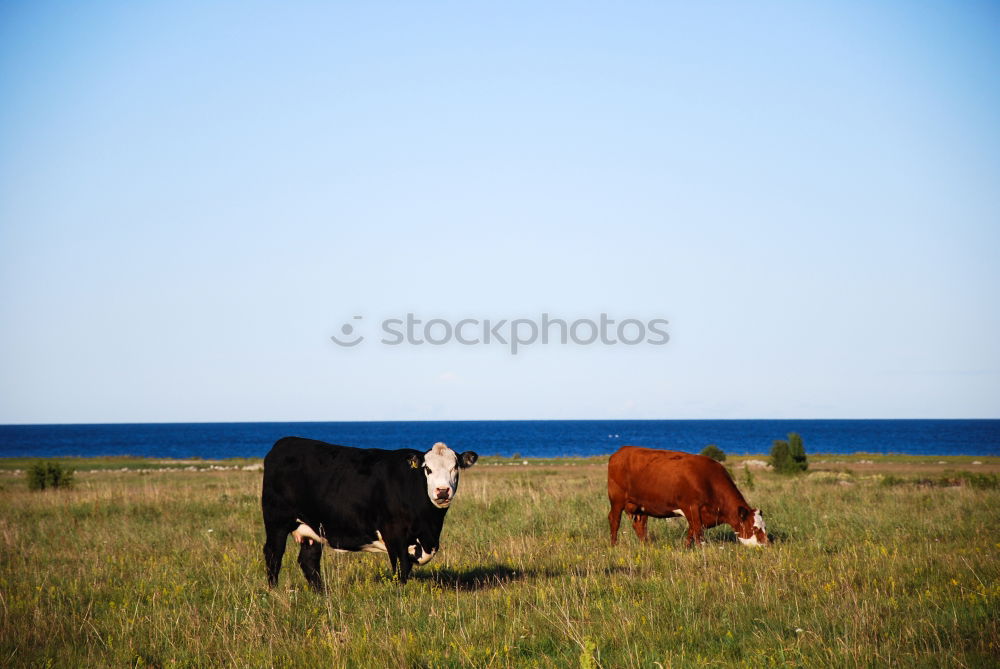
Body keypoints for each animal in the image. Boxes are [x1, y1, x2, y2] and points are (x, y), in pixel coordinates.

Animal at [258, 436, 476, 588]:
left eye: (455, 467)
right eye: (428, 469)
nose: (442, 491)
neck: (429, 526)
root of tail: (284, 443)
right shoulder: (394, 534)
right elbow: (401, 569)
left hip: (312, 527)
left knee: (309, 560)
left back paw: (321, 593)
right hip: (276, 520)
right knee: (273, 554)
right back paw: (274, 591)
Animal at [604, 444, 768, 548]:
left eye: (764, 526)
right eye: (754, 528)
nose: (766, 544)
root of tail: (620, 452)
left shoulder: (697, 513)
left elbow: (692, 530)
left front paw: (686, 547)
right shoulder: (691, 506)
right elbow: (697, 531)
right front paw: (701, 550)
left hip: (642, 505)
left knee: (640, 525)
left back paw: (646, 545)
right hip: (617, 500)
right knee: (614, 520)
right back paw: (613, 545)